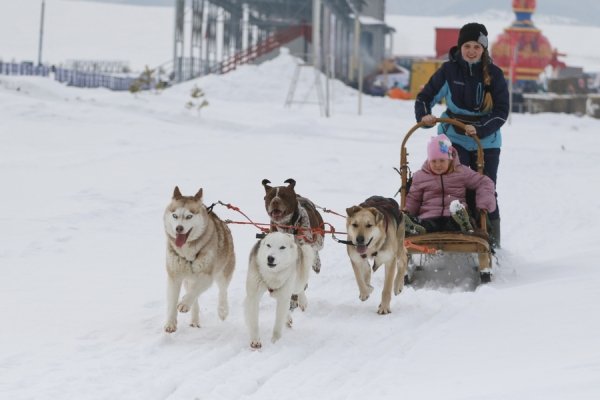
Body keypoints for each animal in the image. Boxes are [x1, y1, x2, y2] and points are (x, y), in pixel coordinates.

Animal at [163, 186, 236, 332]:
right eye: (175, 216)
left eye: (189, 216)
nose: (179, 228)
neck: (187, 253)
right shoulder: (174, 276)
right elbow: (173, 301)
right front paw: (170, 323)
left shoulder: (207, 276)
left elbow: (195, 291)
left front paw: (184, 303)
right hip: (188, 279)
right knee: (194, 296)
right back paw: (195, 319)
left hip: (223, 272)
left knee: (222, 291)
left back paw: (222, 310)